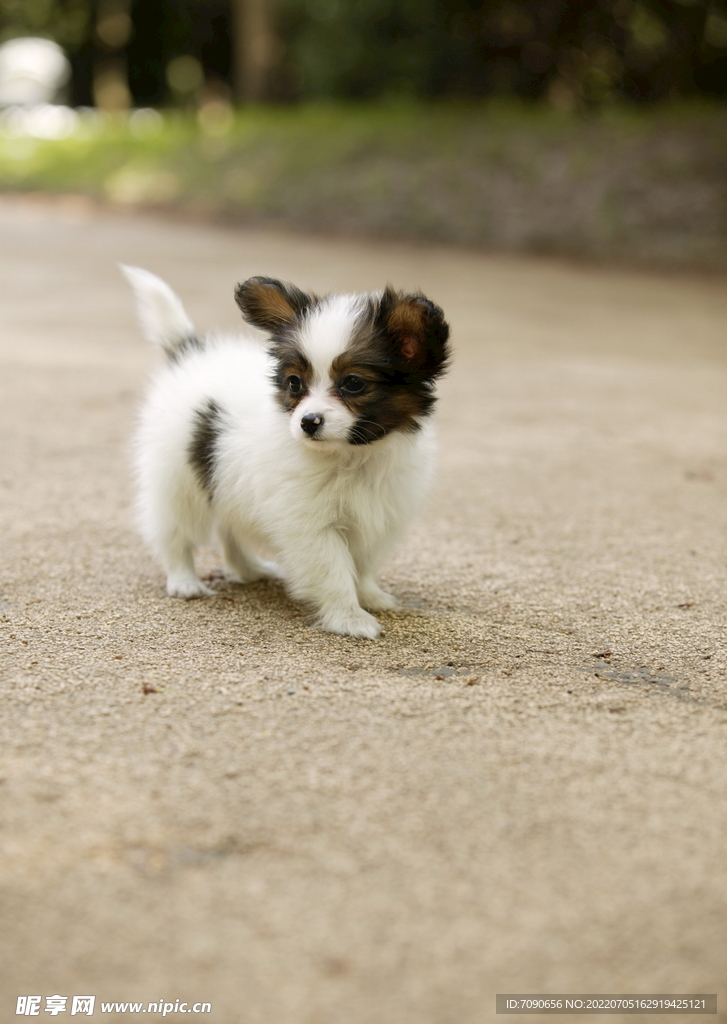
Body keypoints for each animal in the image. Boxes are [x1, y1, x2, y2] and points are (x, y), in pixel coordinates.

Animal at [122, 268, 450, 634]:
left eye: (353, 383)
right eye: (295, 383)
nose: (308, 421)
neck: (351, 457)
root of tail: (190, 354)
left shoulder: (382, 516)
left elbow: (362, 565)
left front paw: (371, 596)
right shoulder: (310, 526)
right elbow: (335, 571)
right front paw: (349, 617)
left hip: (225, 479)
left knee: (229, 530)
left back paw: (249, 570)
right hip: (178, 481)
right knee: (175, 533)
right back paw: (185, 582)